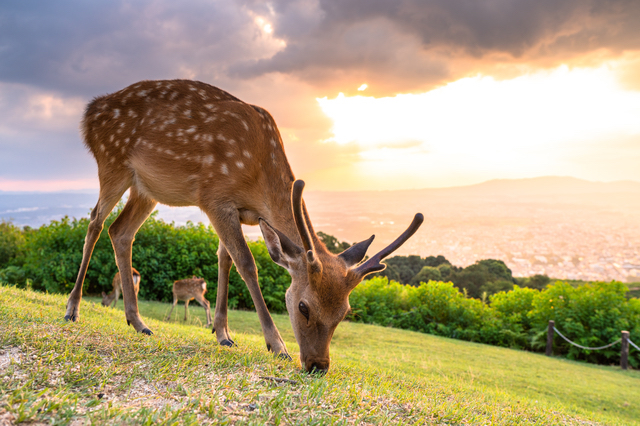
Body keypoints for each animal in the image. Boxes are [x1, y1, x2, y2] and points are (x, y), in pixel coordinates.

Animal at [63, 79, 424, 372]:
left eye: (345, 313)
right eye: (303, 307)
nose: (318, 365)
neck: (258, 178)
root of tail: (89, 114)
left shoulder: (238, 212)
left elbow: (225, 258)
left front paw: (221, 333)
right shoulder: (214, 197)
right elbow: (247, 263)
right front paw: (276, 345)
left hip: (147, 188)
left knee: (121, 231)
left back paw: (137, 321)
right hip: (113, 163)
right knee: (95, 222)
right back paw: (73, 308)